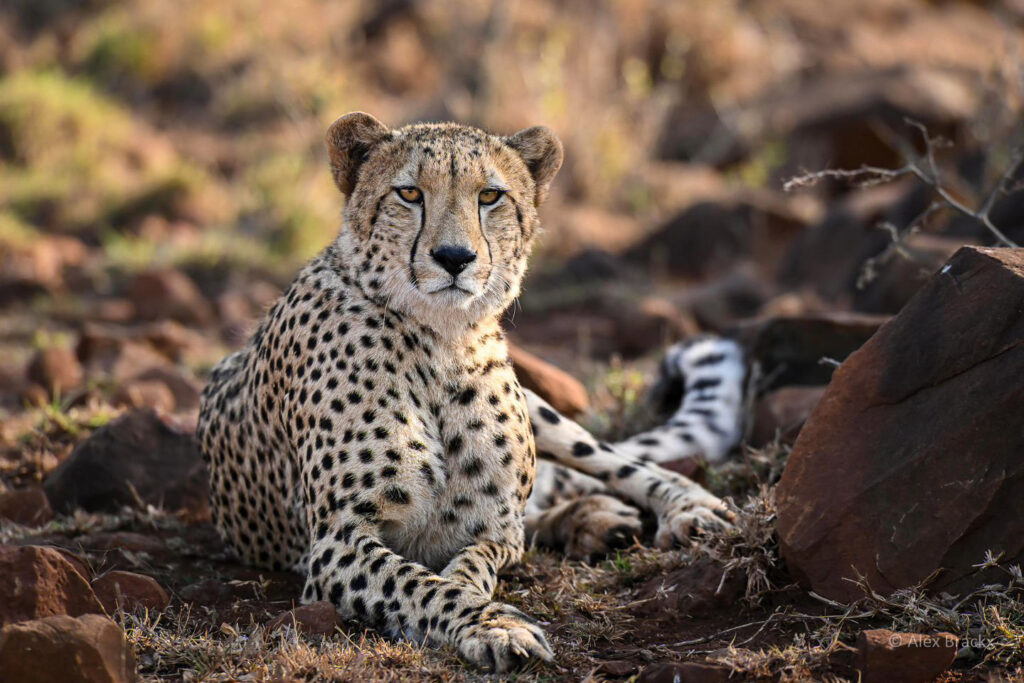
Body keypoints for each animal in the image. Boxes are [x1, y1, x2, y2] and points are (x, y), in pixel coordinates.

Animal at [197, 113, 745, 671]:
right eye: (409, 193)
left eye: (489, 196)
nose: (454, 257)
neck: (444, 342)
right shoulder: (337, 543)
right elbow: (421, 584)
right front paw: (494, 625)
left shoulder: (494, 531)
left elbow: (472, 566)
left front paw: (484, 610)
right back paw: (592, 520)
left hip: (545, 414)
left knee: (617, 464)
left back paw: (684, 508)